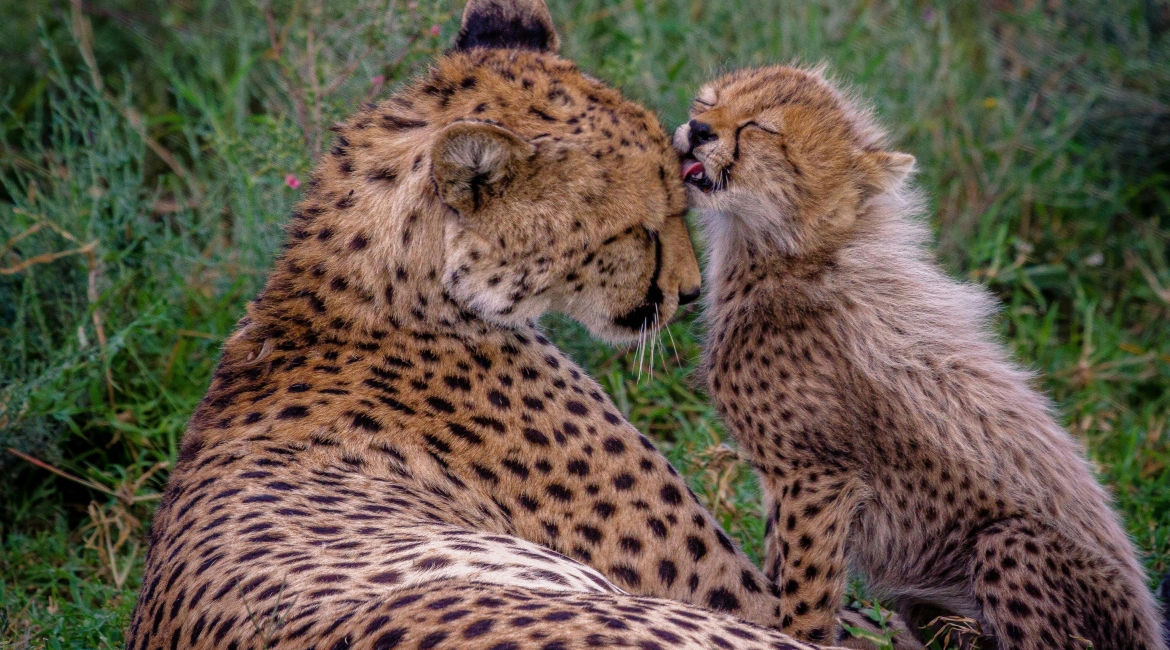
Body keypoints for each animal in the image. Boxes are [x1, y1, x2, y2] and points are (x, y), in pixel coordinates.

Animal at [673, 62, 1165, 650]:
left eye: (760, 128)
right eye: (707, 102)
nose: (698, 129)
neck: (790, 256)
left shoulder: (816, 474)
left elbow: (806, 588)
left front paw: (794, 636)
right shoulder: (794, 478)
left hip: (1009, 543)